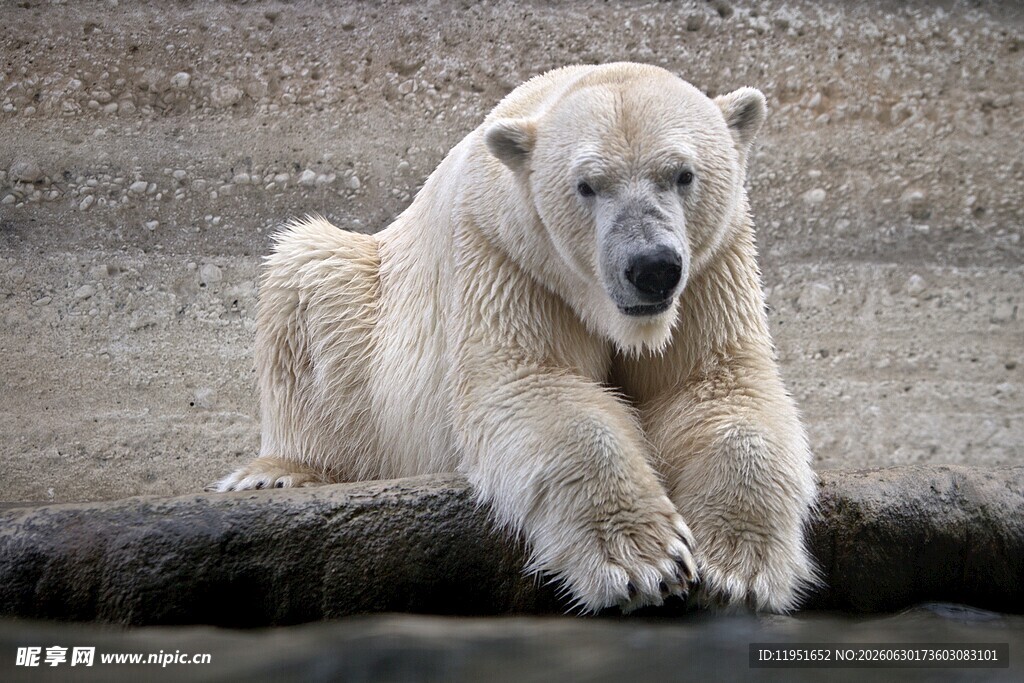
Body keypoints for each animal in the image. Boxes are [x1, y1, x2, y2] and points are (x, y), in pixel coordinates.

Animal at [210, 63, 817, 614]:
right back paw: (276, 473)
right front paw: (646, 563)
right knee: (308, 274)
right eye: (587, 185)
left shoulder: (711, 265)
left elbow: (714, 386)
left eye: (683, 174)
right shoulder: (507, 256)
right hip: (367, 305)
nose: (651, 268)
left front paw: (736, 569)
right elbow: (532, 385)